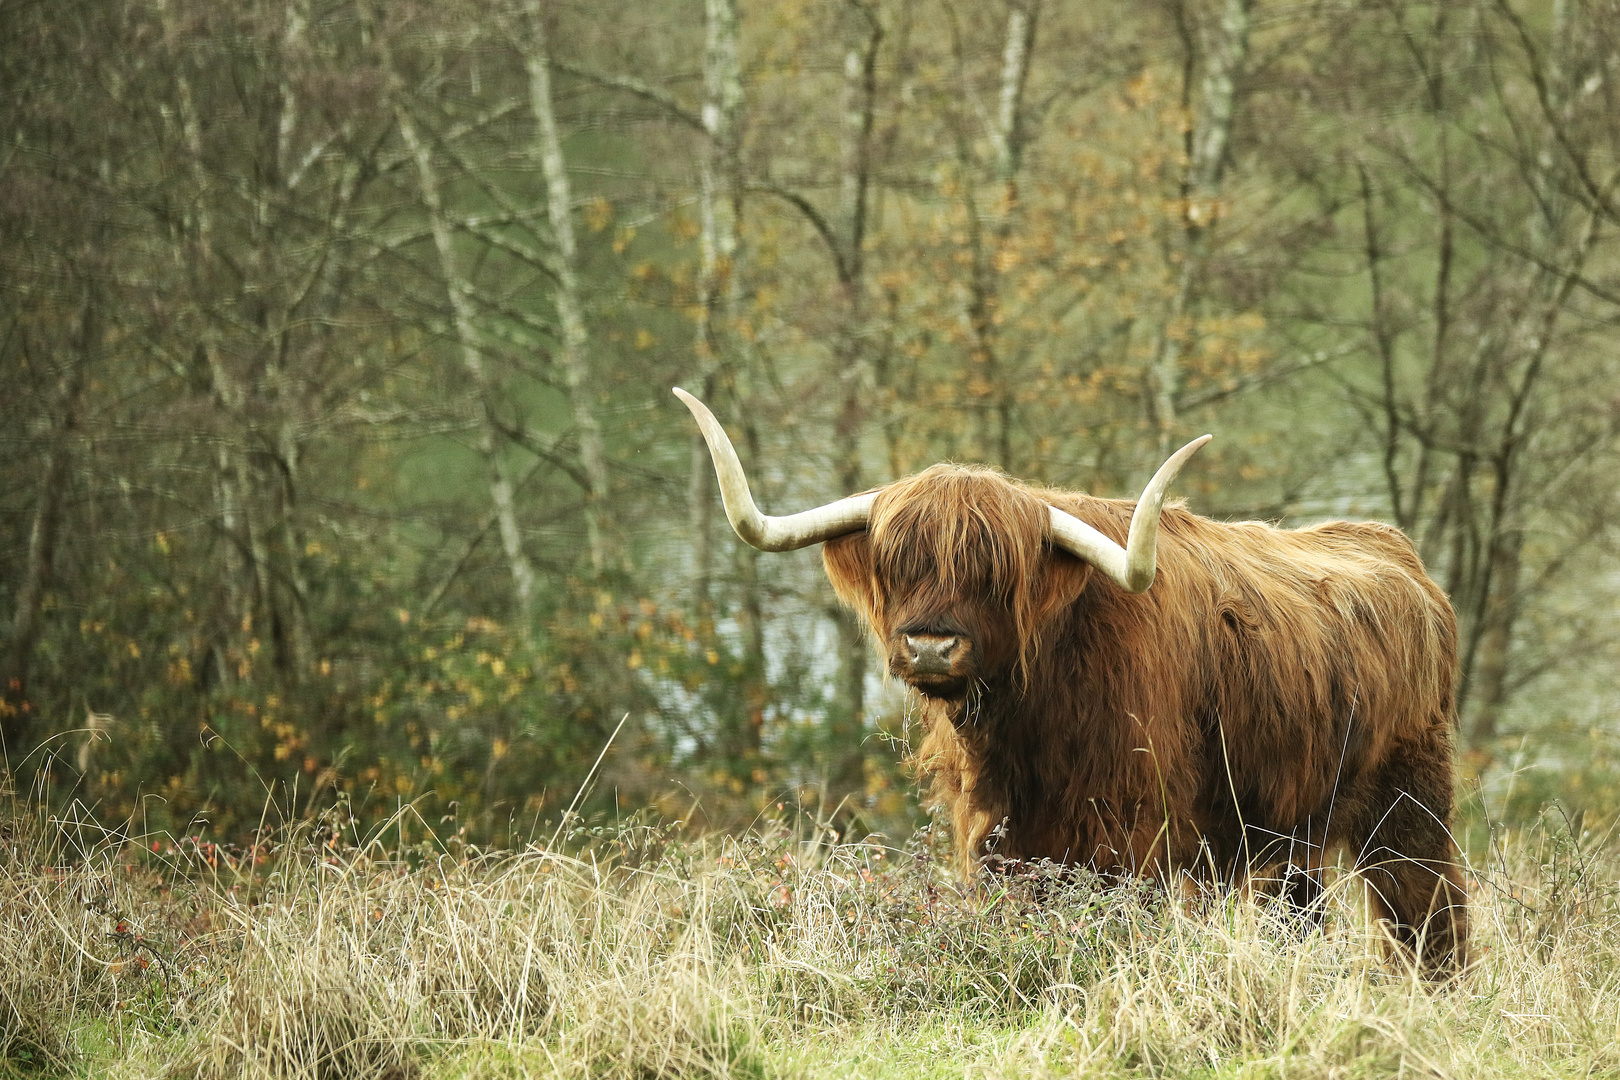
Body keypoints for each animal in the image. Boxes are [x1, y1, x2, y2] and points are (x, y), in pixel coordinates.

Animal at [670, 386, 1470, 971]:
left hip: (1409, 806)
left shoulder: (1134, 832)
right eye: (897, 563)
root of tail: (1398, 553)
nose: (930, 646)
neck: (1029, 729)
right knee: (1302, 914)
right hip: (1294, 830)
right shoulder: (999, 836)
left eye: (995, 573)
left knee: (1428, 909)